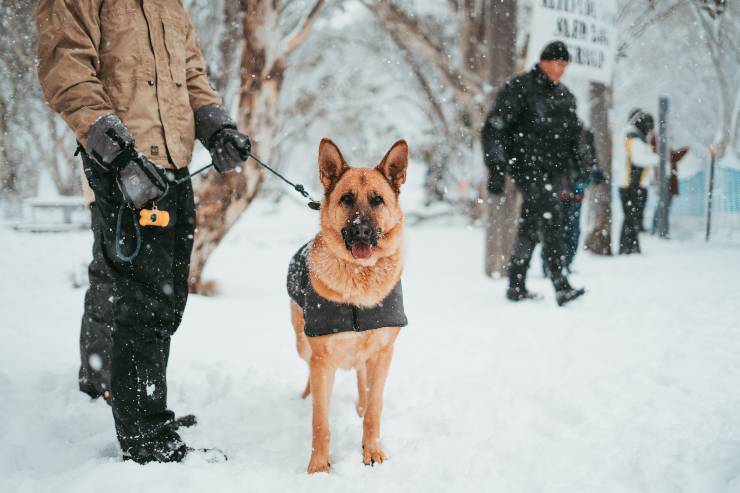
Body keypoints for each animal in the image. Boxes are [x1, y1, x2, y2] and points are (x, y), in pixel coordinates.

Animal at [288, 136, 408, 470]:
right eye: (346, 199)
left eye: (377, 200)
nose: (361, 230)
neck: (359, 277)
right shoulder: (322, 359)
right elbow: (320, 421)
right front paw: (318, 467)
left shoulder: (383, 353)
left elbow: (374, 410)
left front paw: (372, 451)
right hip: (302, 344)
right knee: (310, 374)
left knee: (361, 377)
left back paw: (360, 404)